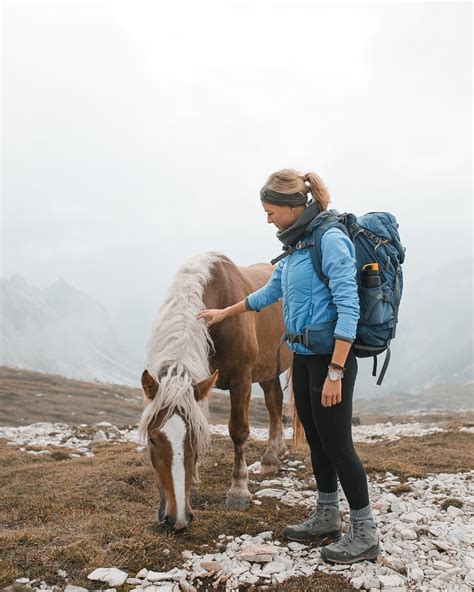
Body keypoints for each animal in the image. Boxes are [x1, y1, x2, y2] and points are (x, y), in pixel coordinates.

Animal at [139, 250, 290, 532]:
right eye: (152, 439)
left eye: (195, 438)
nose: (177, 519)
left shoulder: (241, 379)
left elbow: (238, 431)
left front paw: (238, 491)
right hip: (269, 369)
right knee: (274, 402)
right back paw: (272, 457)